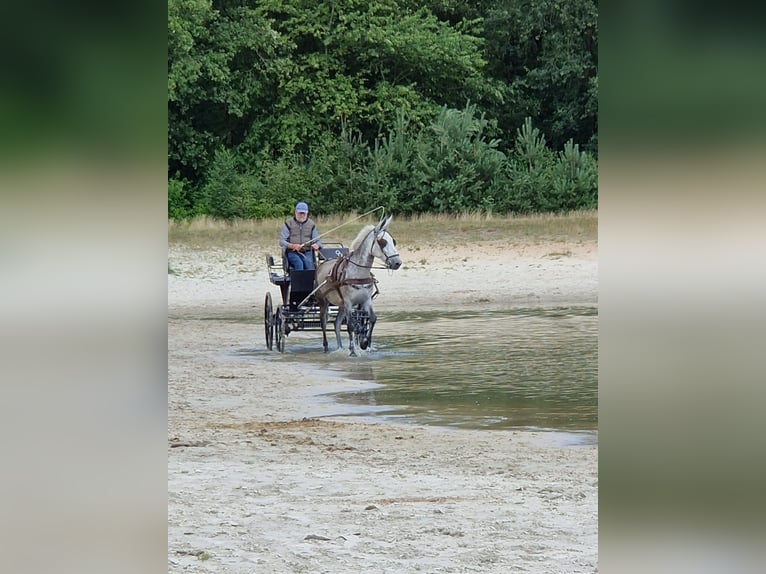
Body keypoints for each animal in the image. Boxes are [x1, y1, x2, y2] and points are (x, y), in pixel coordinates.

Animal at [316, 217, 404, 356]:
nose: (397, 263)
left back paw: (340, 348)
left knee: (336, 323)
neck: (358, 272)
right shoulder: (348, 303)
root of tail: (321, 265)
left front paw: (365, 344)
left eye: (394, 241)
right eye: (382, 242)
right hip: (323, 302)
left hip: (341, 305)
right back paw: (326, 347)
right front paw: (353, 351)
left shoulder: (365, 300)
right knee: (323, 323)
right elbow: (351, 326)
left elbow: (372, 319)